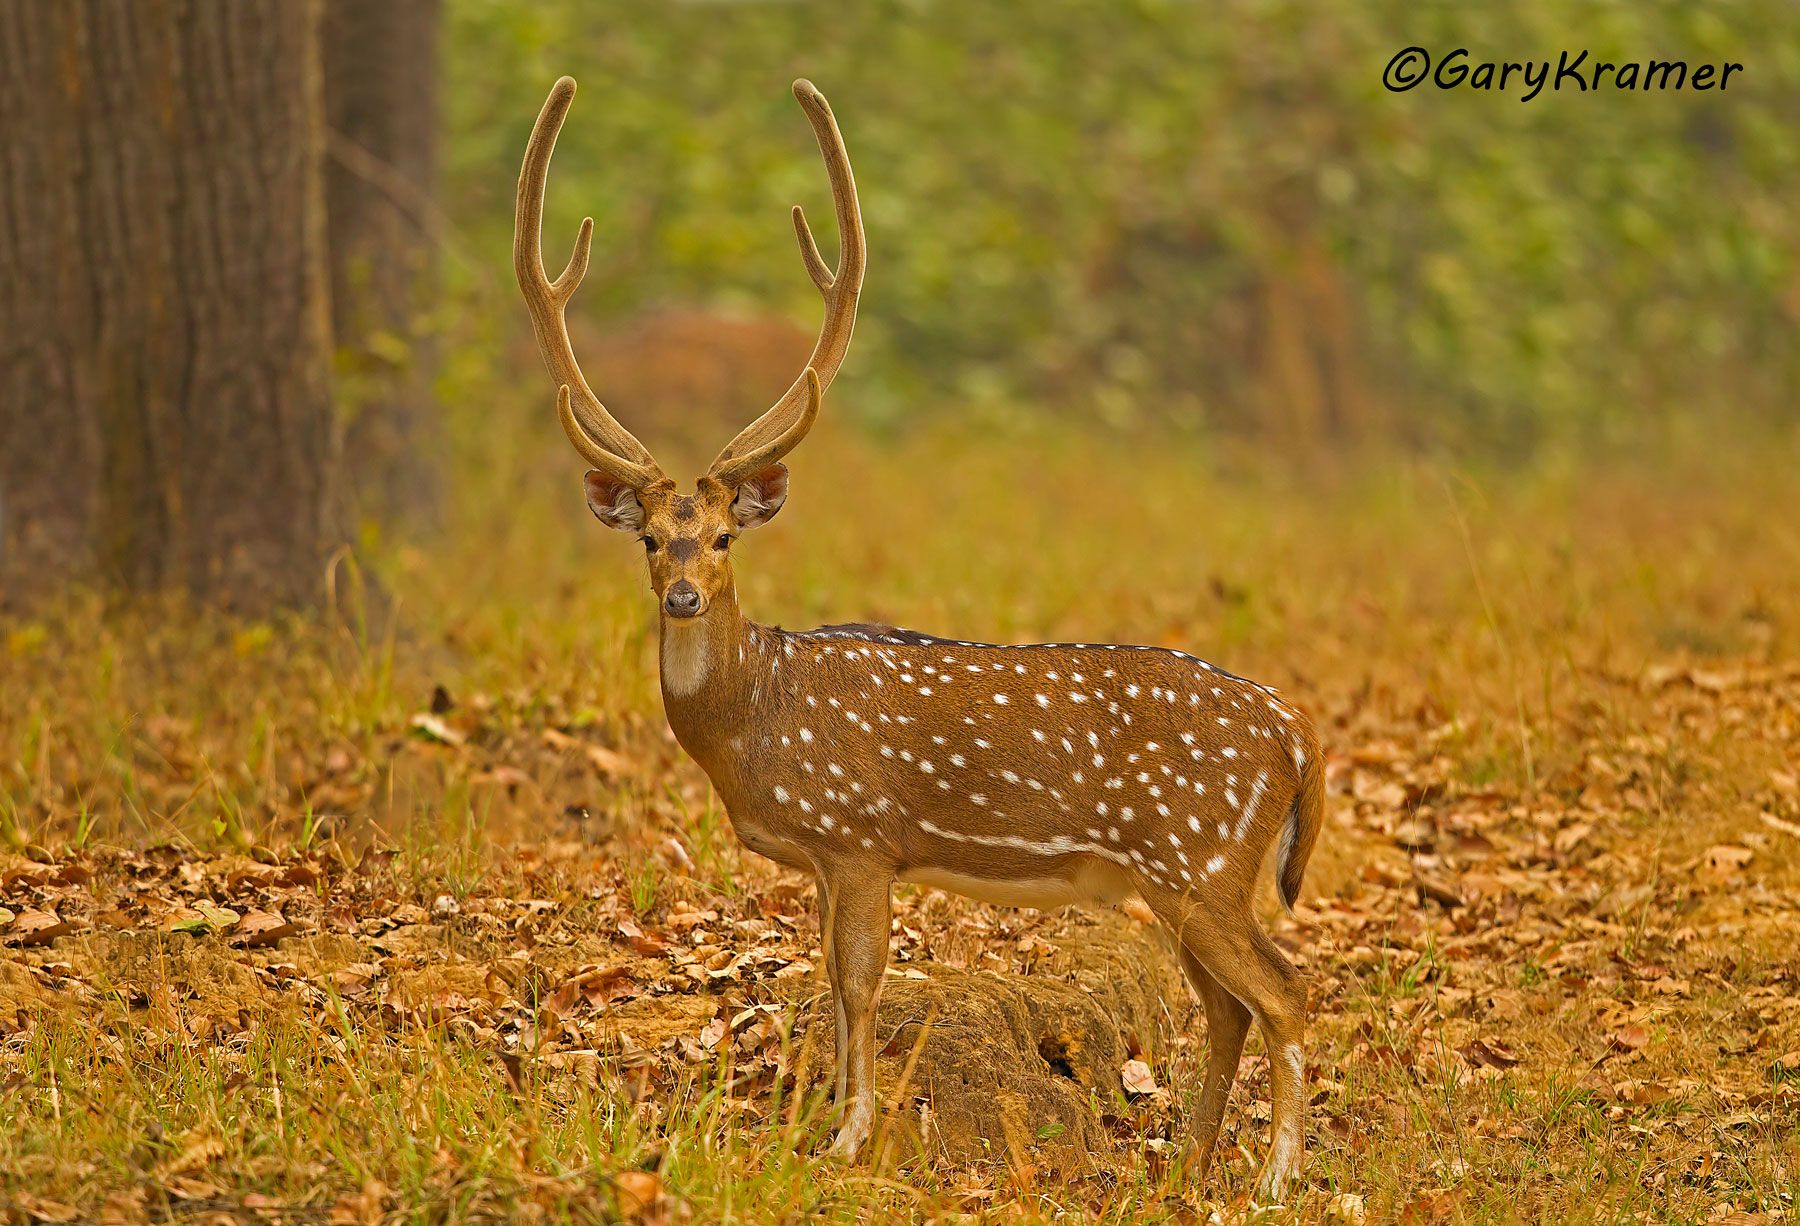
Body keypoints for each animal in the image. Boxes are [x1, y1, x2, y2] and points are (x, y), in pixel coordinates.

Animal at [515, 76, 1325, 1202]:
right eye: (647, 536)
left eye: (722, 536)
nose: (679, 595)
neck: (755, 720)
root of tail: (1298, 738)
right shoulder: (825, 853)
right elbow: (826, 976)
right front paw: (822, 1122)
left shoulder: (858, 833)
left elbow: (859, 982)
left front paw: (850, 1137)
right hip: (1189, 875)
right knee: (1228, 1006)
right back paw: (1187, 1165)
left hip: (1198, 857)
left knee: (1285, 992)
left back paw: (1273, 1177)